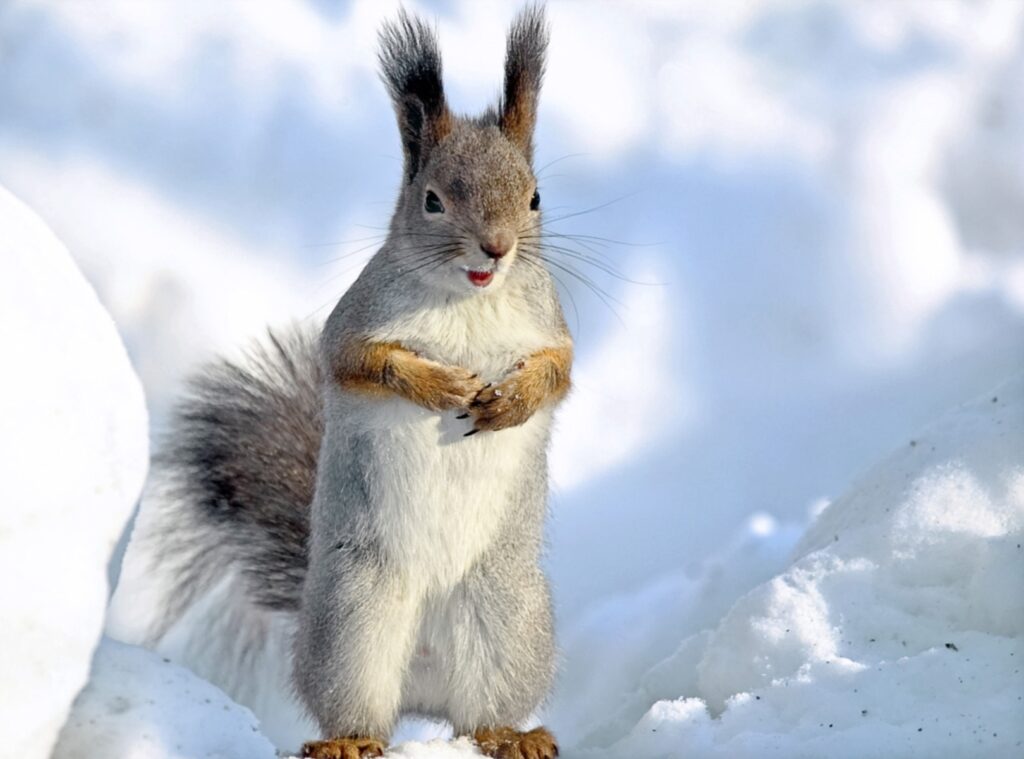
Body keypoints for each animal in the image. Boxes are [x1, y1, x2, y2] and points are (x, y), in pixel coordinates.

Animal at [108, 6, 571, 759]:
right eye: (432, 201)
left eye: (535, 197)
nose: (496, 249)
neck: (469, 297)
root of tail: (423, 685)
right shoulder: (353, 325)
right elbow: (361, 364)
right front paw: (439, 386)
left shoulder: (551, 326)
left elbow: (559, 374)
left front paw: (511, 401)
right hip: (356, 617)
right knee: (358, 706)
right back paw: (347, 741)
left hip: (505, 617)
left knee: (482, 710)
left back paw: (510, 734)